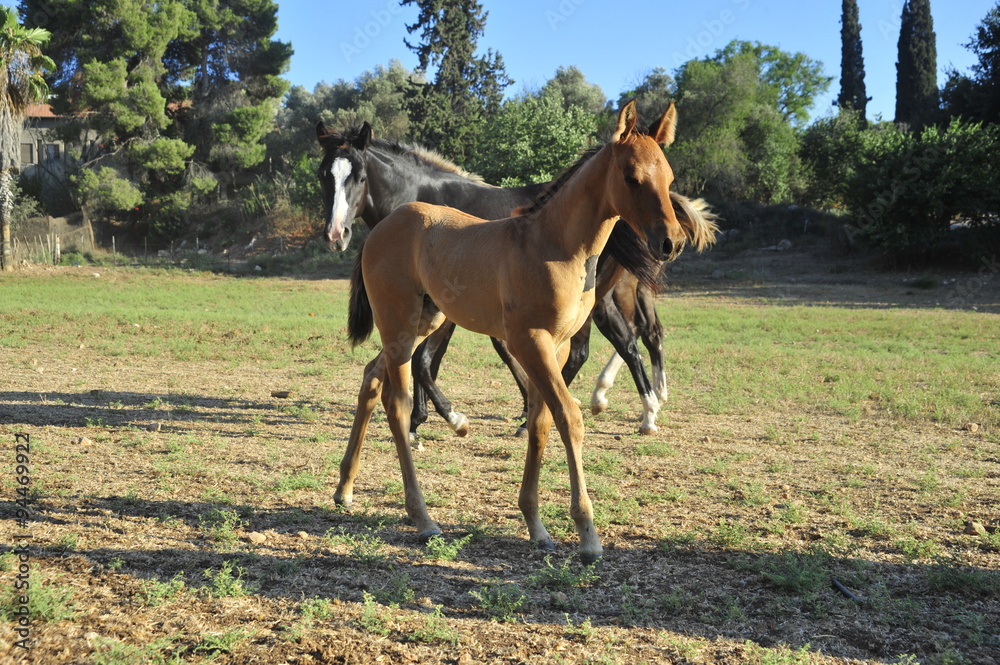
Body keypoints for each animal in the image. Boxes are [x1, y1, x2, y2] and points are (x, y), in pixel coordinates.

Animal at [316, 120, 716, 439]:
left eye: (359, 177)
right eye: (323, 176)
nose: (336, 234)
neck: (422, 197)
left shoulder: (450, 308)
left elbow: (425, 363)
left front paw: (442, 419)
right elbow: (440, 361)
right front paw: (423, 419)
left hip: (602, 299)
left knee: (622, 342)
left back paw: (637, 410)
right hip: (620, 293)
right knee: (642, 335)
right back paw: (628, 400)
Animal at [337, 101, 684, 563]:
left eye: (669, 178)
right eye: (631, 176)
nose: (670, 242)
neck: (554, 247)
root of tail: (380, 228)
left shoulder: (556, 347)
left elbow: (540, 422)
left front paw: (536, 526)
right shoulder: (529, 341)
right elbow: (569, 417)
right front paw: (587, 536)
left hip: (421, 324)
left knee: (371, 379)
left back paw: (344, 488)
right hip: (399, 323)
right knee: (397, 402)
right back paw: (423, 517)